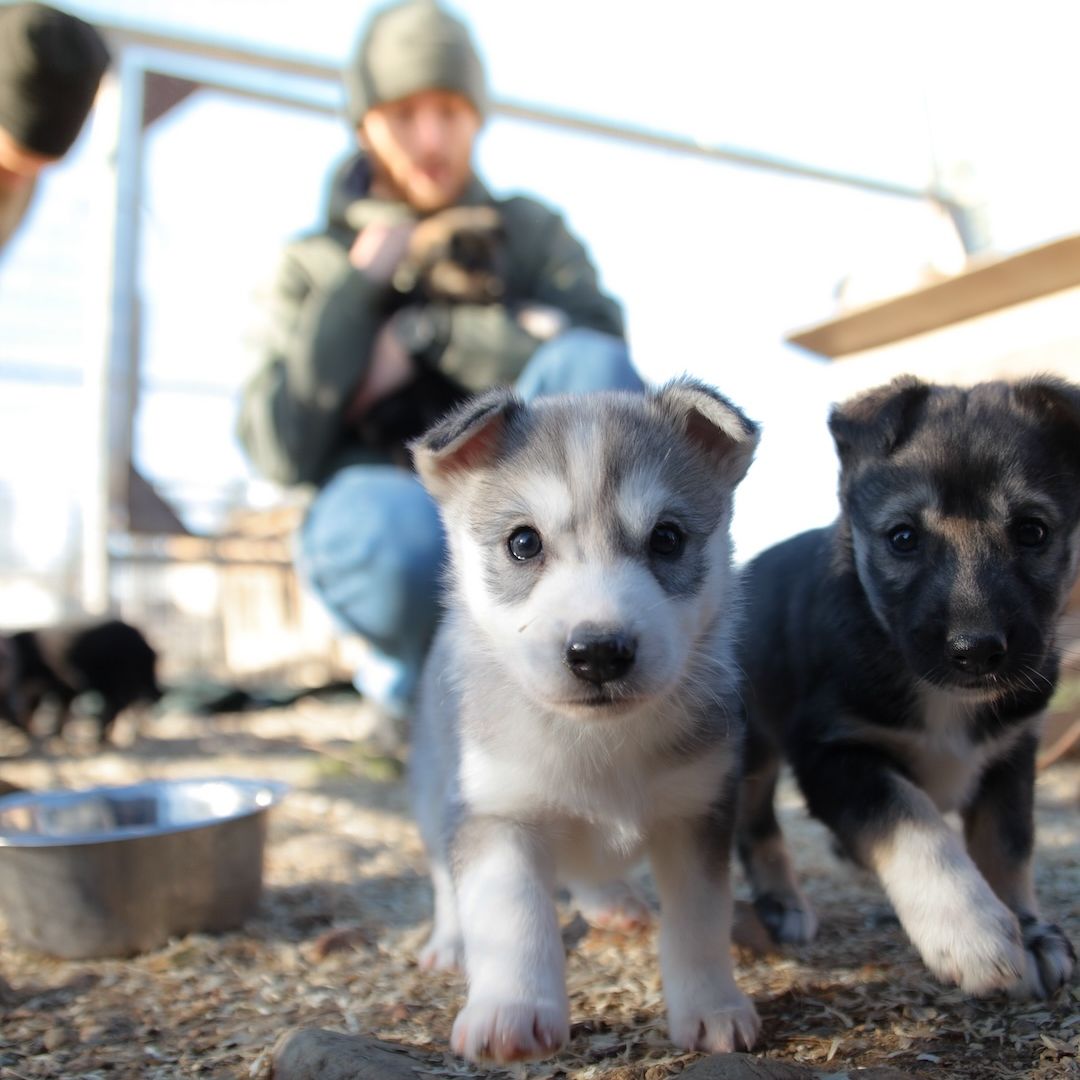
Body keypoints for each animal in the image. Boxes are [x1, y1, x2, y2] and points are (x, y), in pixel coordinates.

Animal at [0, 617, 159, 743]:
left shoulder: (65, 685)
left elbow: (61, 710)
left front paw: (55, 734)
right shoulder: (40, 689)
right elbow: (32, 710)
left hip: (118, 682)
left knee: (119, 706)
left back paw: (103, 737)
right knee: (120, 706)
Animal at [410, 378, 760, 1062]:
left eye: (667, 539)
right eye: (523, 542)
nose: (598, 651)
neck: (598, 744)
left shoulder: (698, 812)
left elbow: (700, 923)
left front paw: (712, 1006)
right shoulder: (497, 813)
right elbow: (512, 919)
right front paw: (511, 1010)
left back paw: (612, 902)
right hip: (437, 794)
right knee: (443, 876)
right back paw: (449, 941)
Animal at [738, 375, 1080, 997]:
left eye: (1032, 531)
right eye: (902, 538)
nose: (976, 652)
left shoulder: (1012, 753)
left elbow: (1007, 846)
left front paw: (1029, 929)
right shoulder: (832, 752)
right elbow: (913, 820)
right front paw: (973, 930)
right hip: (749, 744)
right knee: (754, 823)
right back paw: (781, 904)